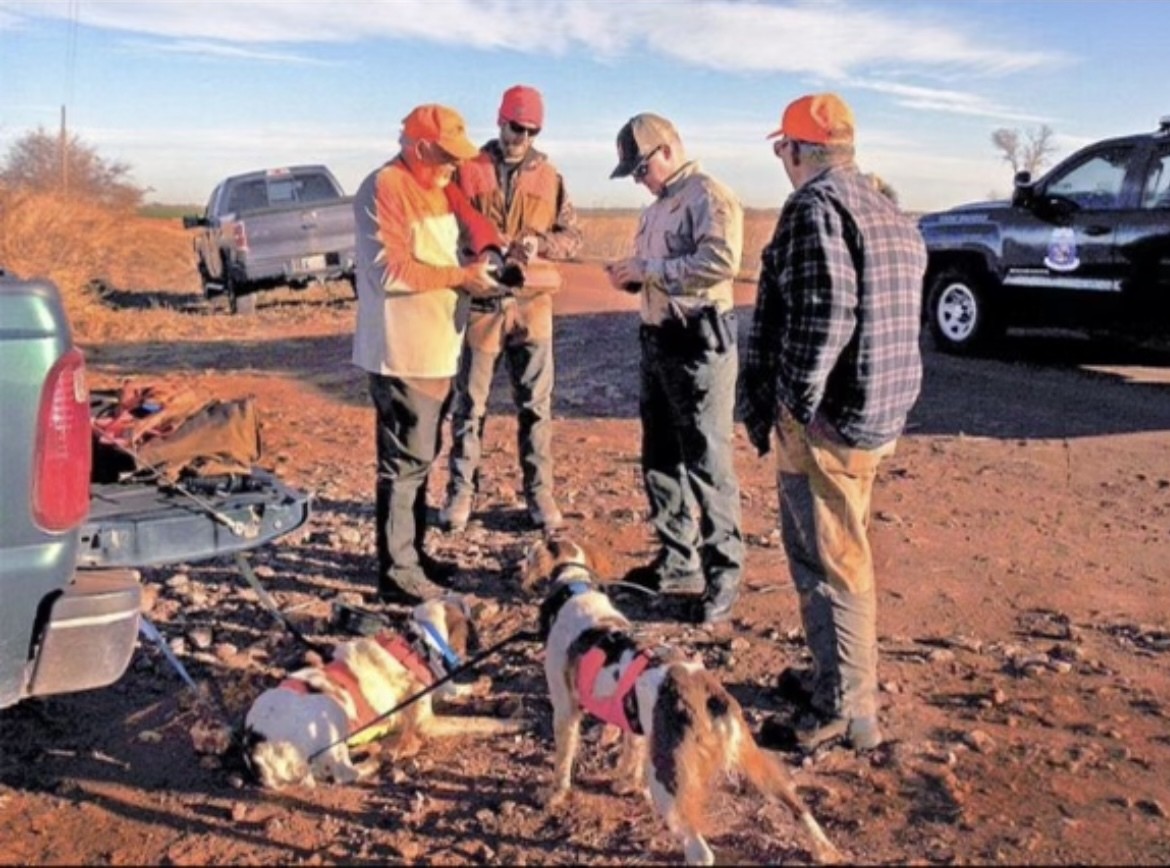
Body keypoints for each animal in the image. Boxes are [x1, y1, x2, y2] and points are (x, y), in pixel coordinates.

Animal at [242, 598, 521, 790]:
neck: (415, 642)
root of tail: (256, 748)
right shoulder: (427, 721)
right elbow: (475, 720)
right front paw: (510, 723)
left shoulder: (436, 686)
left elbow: (454, 689)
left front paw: (481, 685)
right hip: (331, 709)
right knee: (345, 774)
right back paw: (378, 758)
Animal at [528, 540, 842, 865]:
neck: (576, 589)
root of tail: (712, 697)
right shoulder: (635, 723)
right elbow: (631, 753)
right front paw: (625, 783)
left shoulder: (565, 710)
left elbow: (563, 762)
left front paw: (554, 796)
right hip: (758, 764)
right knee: (800, 807)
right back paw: (824, 849)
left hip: (667, 785)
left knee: (700, 853)